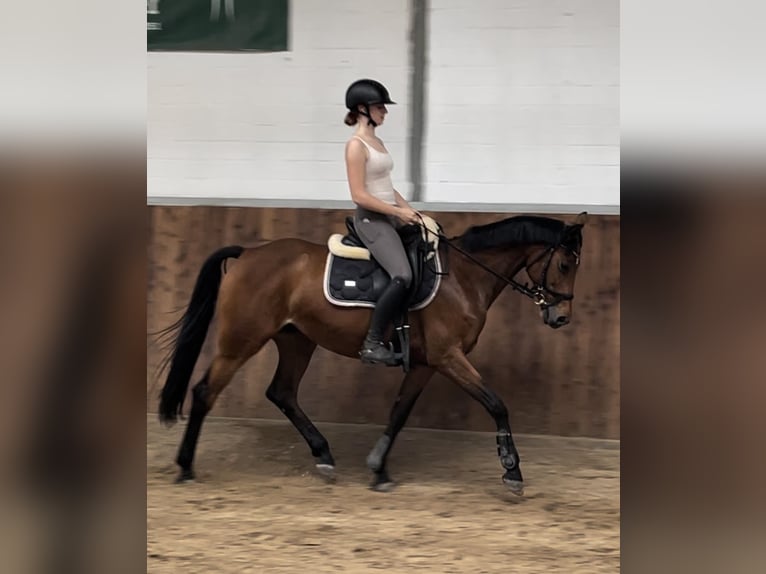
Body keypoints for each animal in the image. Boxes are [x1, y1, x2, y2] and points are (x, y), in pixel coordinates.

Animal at [155, 211, 588, 495]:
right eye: (565, 264)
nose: (561, 317)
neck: (463, 278)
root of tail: (247, 253)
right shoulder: (449, 357)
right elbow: (497, 404)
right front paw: (512, 472)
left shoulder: (426, 363)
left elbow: (399, 412)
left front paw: (379, 470)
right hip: (241, 341)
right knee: (205, 392)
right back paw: (186, 466)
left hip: (297, 340)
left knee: (282, 392)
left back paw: (324, 455)